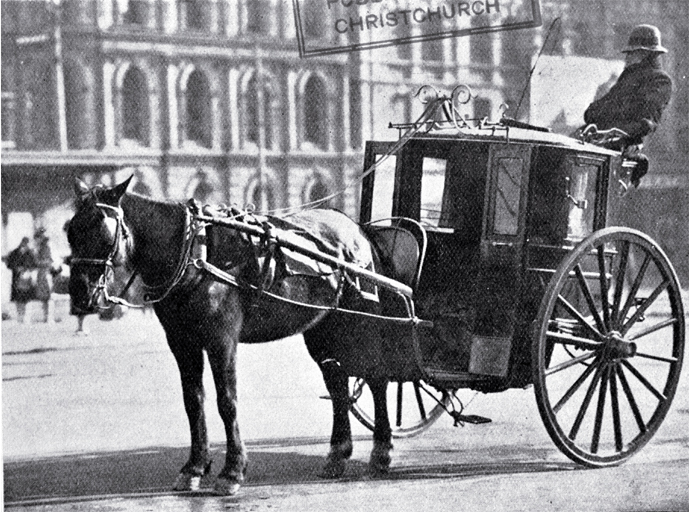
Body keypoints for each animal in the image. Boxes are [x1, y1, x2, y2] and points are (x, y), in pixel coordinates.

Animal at [68, 177, 398, 496]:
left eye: (103, 231)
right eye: (71, 231)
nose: (79, 295)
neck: (194, 252)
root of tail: (358, 230)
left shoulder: (221, 340)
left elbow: (227, 402)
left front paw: (232, 471)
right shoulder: (181, 341)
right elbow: (193, 402)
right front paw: (194, 467)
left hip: (364, 323)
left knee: (376, 379)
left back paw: (381, 450)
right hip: (323, 328)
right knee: (337, 384)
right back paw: (338, 454)